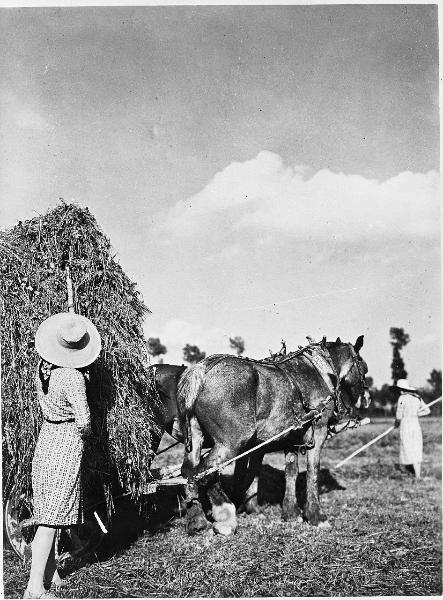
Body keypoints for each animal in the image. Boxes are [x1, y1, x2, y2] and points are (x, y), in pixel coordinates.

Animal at [177, 336, 372, 536]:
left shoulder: (291, 438)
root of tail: (203, 369)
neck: (321, 371)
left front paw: (291, 513)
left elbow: (291, 471)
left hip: (195, 436)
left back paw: (196, 520)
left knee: (189, 471)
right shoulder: (319, 431)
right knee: (206, 472)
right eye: (363, 367)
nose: (366, 398)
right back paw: (225, 518)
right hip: (231, 443)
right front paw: (316, 516)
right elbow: (313, 471)